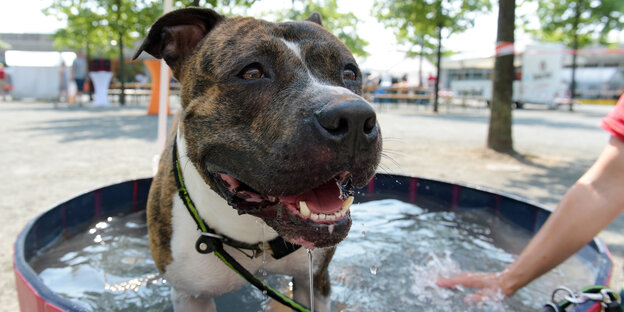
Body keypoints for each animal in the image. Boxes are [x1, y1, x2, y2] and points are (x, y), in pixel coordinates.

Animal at [134, 7, 382, 312]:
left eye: (350, 72)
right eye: (252, 72)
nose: (355, 117)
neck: (253, 234)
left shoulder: (314, 279)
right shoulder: (191, 295)